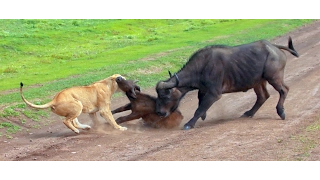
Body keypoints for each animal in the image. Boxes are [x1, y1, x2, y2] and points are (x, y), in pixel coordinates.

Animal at [156, 36, 300, 129]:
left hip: (274, 77)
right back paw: (249, 113)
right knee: (263, 96)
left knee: (284, 90)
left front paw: (189, 124)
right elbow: (200, 101)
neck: (201, 68)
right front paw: (203, 116)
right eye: (158, 96)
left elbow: (199, 108)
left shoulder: (214, 93)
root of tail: (273, 46)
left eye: (165, 96)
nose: (160, 113)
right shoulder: (203, 90)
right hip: (257, 82)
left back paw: (280, 112)